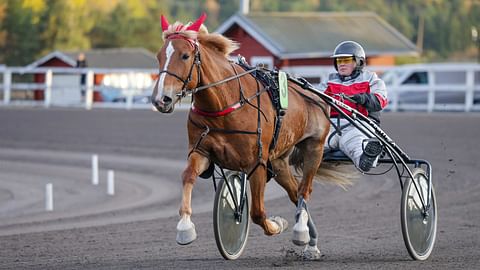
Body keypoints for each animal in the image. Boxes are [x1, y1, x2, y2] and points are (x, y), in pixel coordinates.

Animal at [152, 14, 350, 260]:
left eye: (185, 55)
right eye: (159, 56)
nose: (161, 99)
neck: (225, 104)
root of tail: (314, 92)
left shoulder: (257, 163)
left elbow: (257, 212)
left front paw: (277, 224)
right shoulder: (201, 151)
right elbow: (188, 176)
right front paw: (185, 228)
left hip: (314, 148)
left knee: (305, 191)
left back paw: (300, 231)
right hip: (279, 161)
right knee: (295, 193)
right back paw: (309, 241)